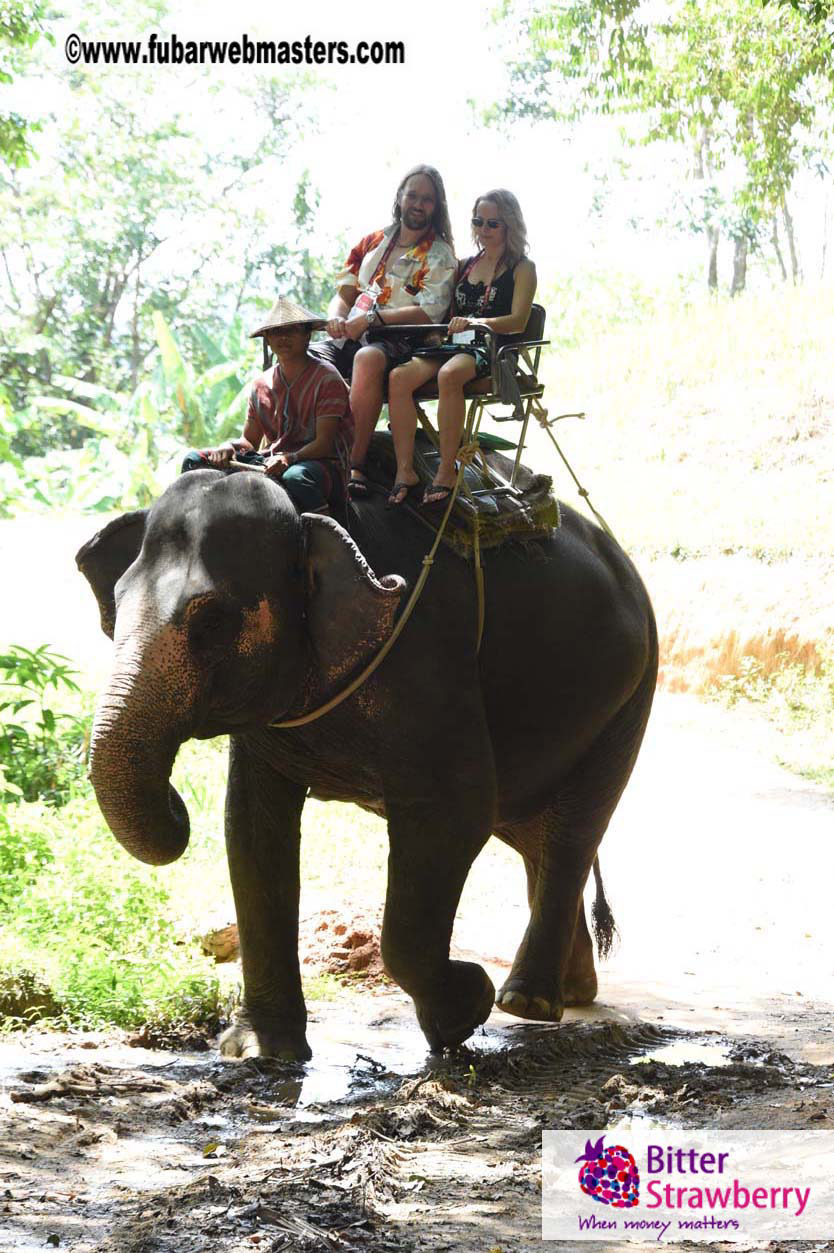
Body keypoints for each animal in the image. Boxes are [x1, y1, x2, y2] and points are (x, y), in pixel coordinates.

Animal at [76, 454, 657, 1060]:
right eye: (116, 605)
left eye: (212, 621)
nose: (175, 799)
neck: (313, 514)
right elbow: (251, 827)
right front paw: (263, 1051)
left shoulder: (427, 655)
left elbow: (453, 814)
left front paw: (466, 1006)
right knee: (531, 835)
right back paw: (574, 989)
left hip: (631, 693)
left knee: (572, 830)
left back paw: (527, 1001)